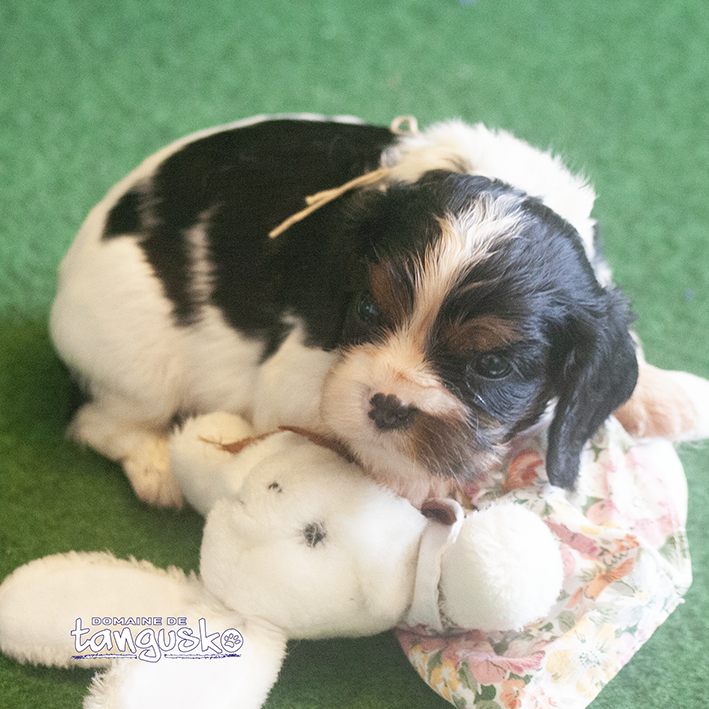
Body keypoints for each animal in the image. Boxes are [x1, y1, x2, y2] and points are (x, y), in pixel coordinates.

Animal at [49, 113, 636, 506]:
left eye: (492, 366)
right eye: (369, 309)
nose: (389, 405)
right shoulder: (293, 380)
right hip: (139, 360)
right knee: (96, 421)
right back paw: (157, 468)